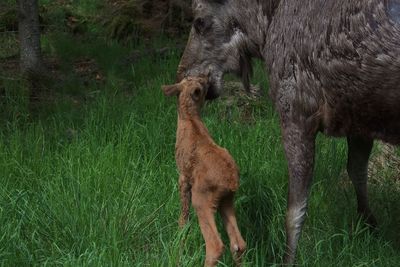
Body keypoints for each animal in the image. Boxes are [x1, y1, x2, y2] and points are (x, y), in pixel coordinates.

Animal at [162, 76, 247, 266]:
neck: (189, 119)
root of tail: (232, 181)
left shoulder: (183, 177)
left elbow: (183, 214)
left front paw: (179, 239)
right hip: (227, 199)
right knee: (238, 243)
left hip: (202, 197)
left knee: (215, 245)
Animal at [177, 0, 400, 264]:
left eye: (199, 21)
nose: (183, 73)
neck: (264, 26)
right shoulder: (358, 121)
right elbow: (357, 172)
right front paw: (370, 226)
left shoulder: (296, 114)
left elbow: (294, 212)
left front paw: (287, 259)